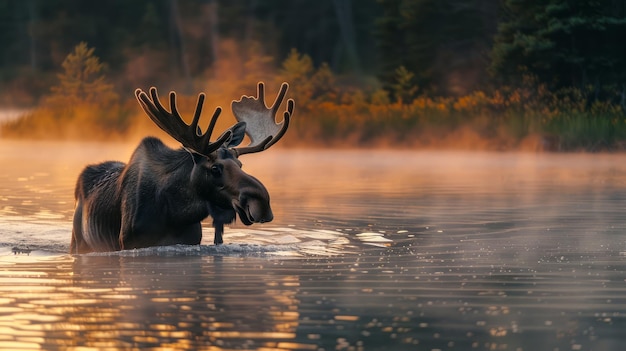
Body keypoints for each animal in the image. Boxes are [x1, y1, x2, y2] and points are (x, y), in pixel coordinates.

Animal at [69, 81, 294, 254]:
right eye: (215, 168)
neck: (175, 214)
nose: (262, 202)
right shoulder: (129, 243)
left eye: (240, 164)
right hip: (78, 242)